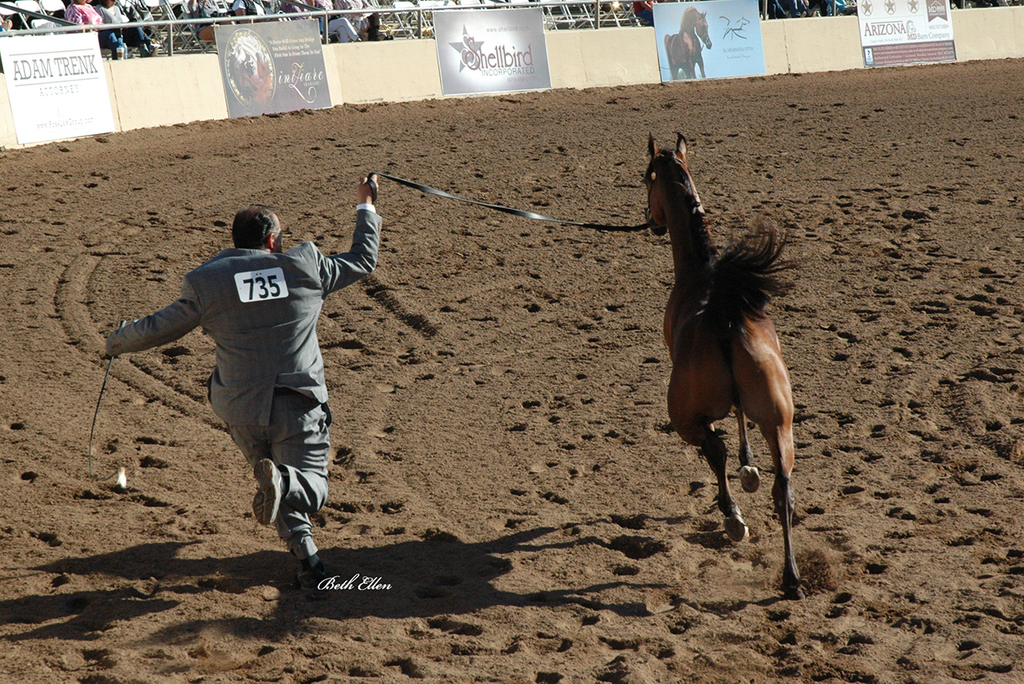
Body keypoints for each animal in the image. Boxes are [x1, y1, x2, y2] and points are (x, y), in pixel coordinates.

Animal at [643, 133, 803, 600]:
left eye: (647, 179)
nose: (652, 221)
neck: (702, 276)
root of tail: (723, 317)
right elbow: (739, 417)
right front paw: (750, 468)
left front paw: (742, 479)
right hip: (781, 423)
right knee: (783, 489)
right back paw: (792, 578)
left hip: (683, 418)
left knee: (714, 449)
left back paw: (734, 519)